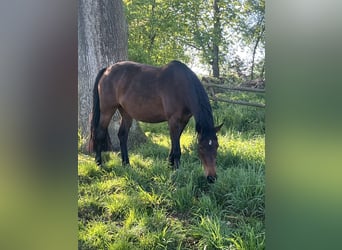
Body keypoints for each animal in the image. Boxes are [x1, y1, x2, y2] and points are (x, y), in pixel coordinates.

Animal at [88, 60, 223, 182]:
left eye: (216, 146)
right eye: (201, 147)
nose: (212, 178)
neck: (182, 86)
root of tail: (107, 70)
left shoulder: (183, 121)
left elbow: (174, 143)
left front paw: (170, 165)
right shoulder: (173, 120)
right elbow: (177, 148)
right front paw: (177, 171)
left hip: (126, 112)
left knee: (122, 135)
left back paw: (126, 164)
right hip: (107, 110)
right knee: (99, 133)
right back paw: (99, 163)